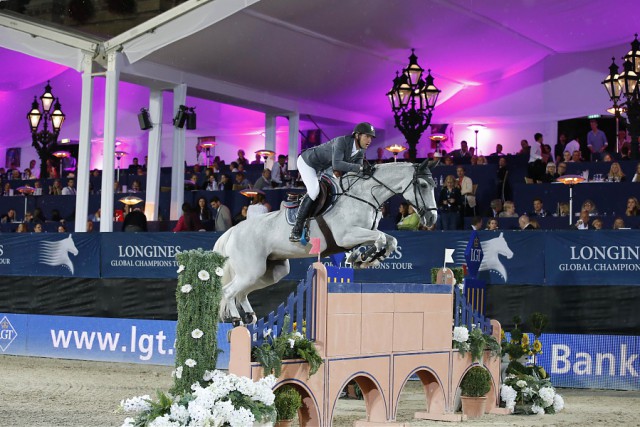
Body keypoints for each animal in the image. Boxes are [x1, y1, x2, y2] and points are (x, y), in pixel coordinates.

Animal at [212, 160, 438, 324]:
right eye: (423, 185)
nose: (432, 219)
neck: (364, 195)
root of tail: (232, 231)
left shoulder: (364, 233)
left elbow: (389, 239)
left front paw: (367, 258)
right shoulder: (347, 235)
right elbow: (382, 237)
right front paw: (366, 257)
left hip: (270, 272)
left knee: (241, 292)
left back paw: (249, 319)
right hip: (252, 269)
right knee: (229, 291)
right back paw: (235, 318)